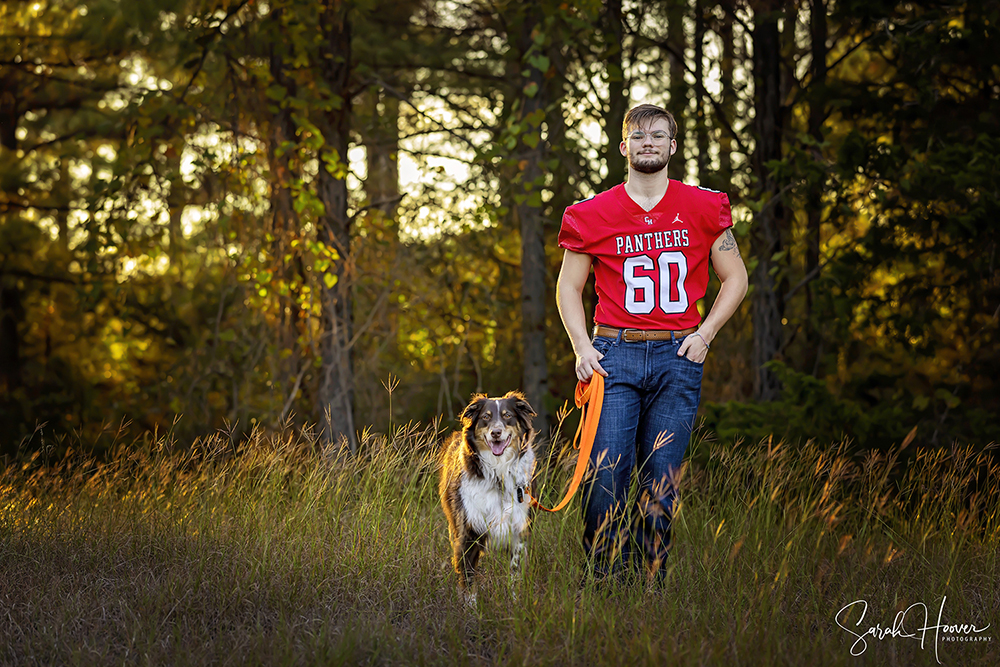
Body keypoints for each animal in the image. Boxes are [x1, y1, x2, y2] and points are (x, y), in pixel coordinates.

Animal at [436, 392, 536, 604]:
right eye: (485, 417)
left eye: (507, 416)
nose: (496, 433)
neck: (498, 473)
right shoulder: (468, 532)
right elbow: (468, 578)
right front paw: (471, 608)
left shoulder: (518, 532)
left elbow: (515, 573)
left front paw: (515, 604)